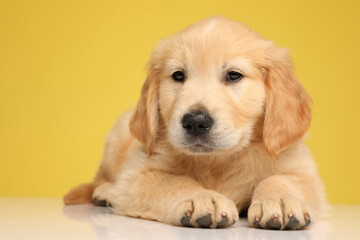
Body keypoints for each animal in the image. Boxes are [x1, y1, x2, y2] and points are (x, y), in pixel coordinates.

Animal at [64, 15, 326, 230]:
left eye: (234, 75)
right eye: (178, 75)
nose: (196, 122)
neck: (217, 161)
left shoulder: (301, 169)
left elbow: (280, 178)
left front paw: (281, 200)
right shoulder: (139, 172)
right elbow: (173, 181)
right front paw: (203, 198)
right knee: (101, 177)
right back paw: (105, 192)